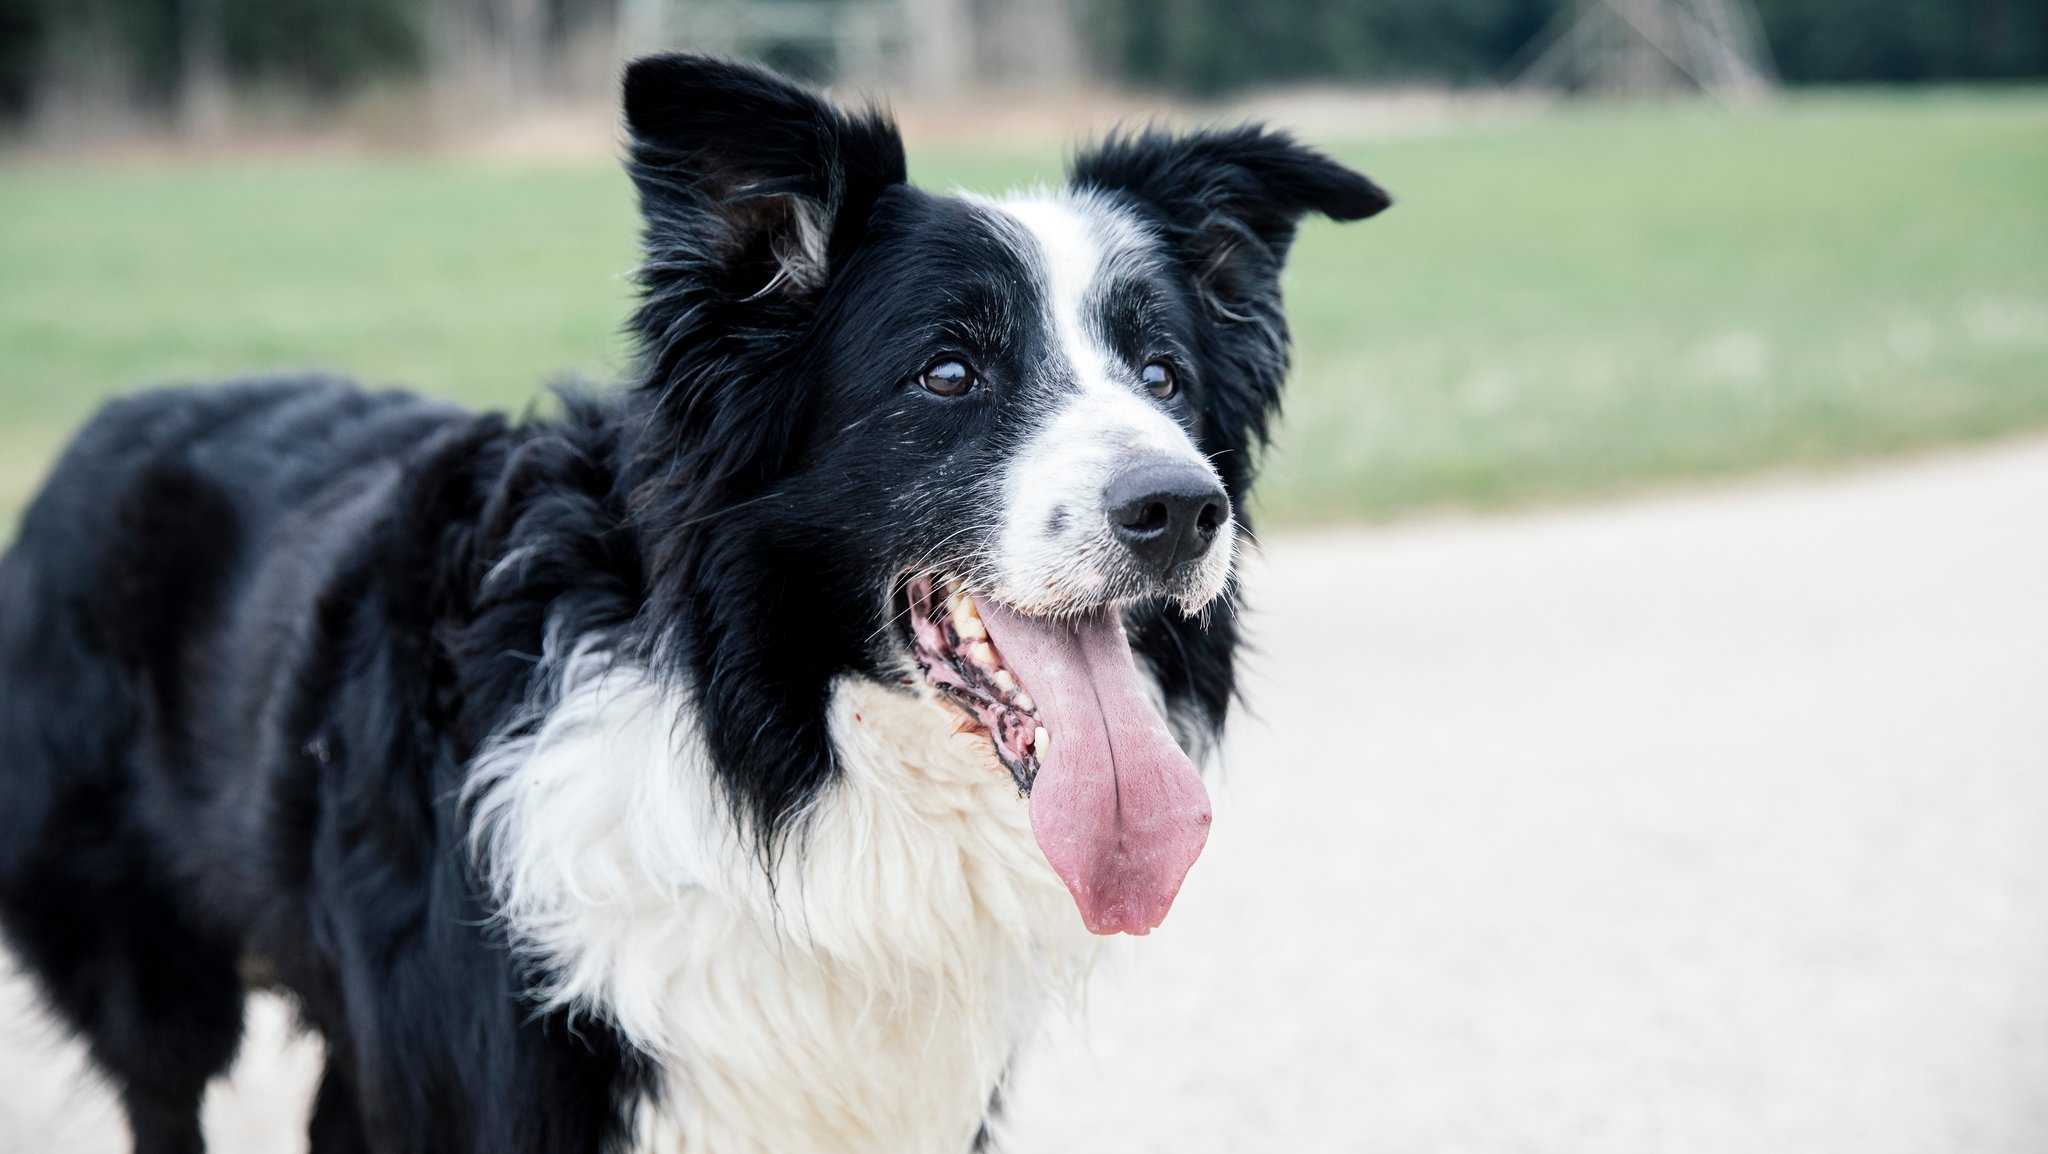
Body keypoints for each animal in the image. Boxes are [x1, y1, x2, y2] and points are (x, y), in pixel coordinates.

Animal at [0, 54, 1392, 1154]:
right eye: (948, 372)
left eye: (1162, 376)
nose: (1181, 507)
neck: (775, 746)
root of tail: (107, 422)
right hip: (147, 970)